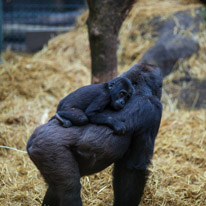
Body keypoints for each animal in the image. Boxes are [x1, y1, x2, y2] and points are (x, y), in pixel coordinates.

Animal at [27, 62, 163, 206]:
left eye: (127, 97)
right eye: (122, 94)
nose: (122, 102)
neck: (140, 90)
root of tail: (32, 141)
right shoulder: (153, 110)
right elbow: (133, 168)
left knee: (55, 188)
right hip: (50, 151)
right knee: (69, 190)